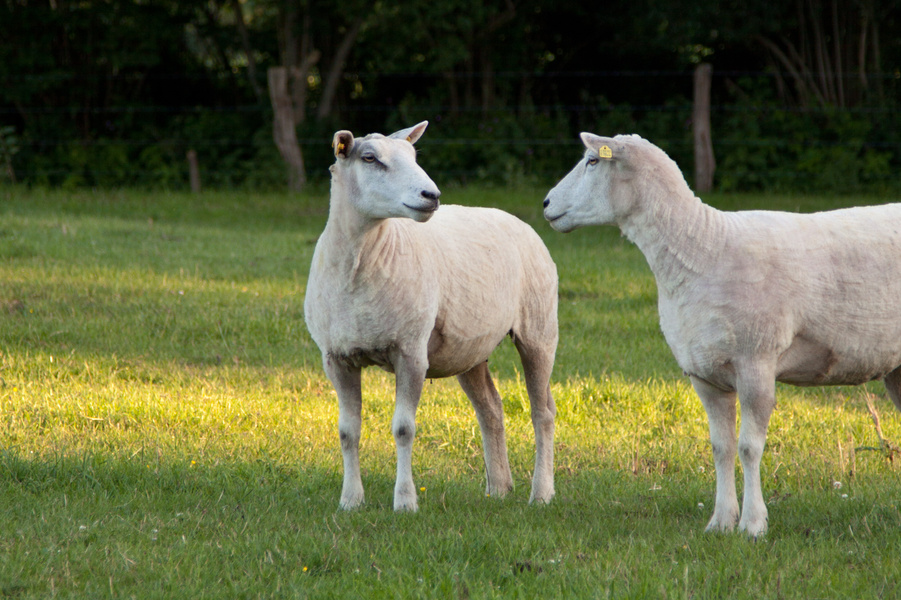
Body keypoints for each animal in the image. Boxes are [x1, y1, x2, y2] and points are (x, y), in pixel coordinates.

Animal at [304, 121, 559, 512]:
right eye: (370, 158)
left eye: (413, 156)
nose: (431, 195)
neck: (360, 264)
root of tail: (513, 217)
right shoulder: (337, 357)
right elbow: (348, 432)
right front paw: (350, 501)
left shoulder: (411, 352)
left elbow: (403, 428)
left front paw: (405, 502)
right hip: (470, 350)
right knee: (491, 408)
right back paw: (499, 488)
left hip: (539, 330)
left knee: (542, 412)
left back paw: (541, 493)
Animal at [542, 132, 901, 537]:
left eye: (592, 161)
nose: (546, 203)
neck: (702, 248)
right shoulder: (704, 373)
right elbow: (721, 447)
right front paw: (721, 522)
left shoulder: (756, 361)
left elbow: (749, 448)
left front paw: (753, 524)